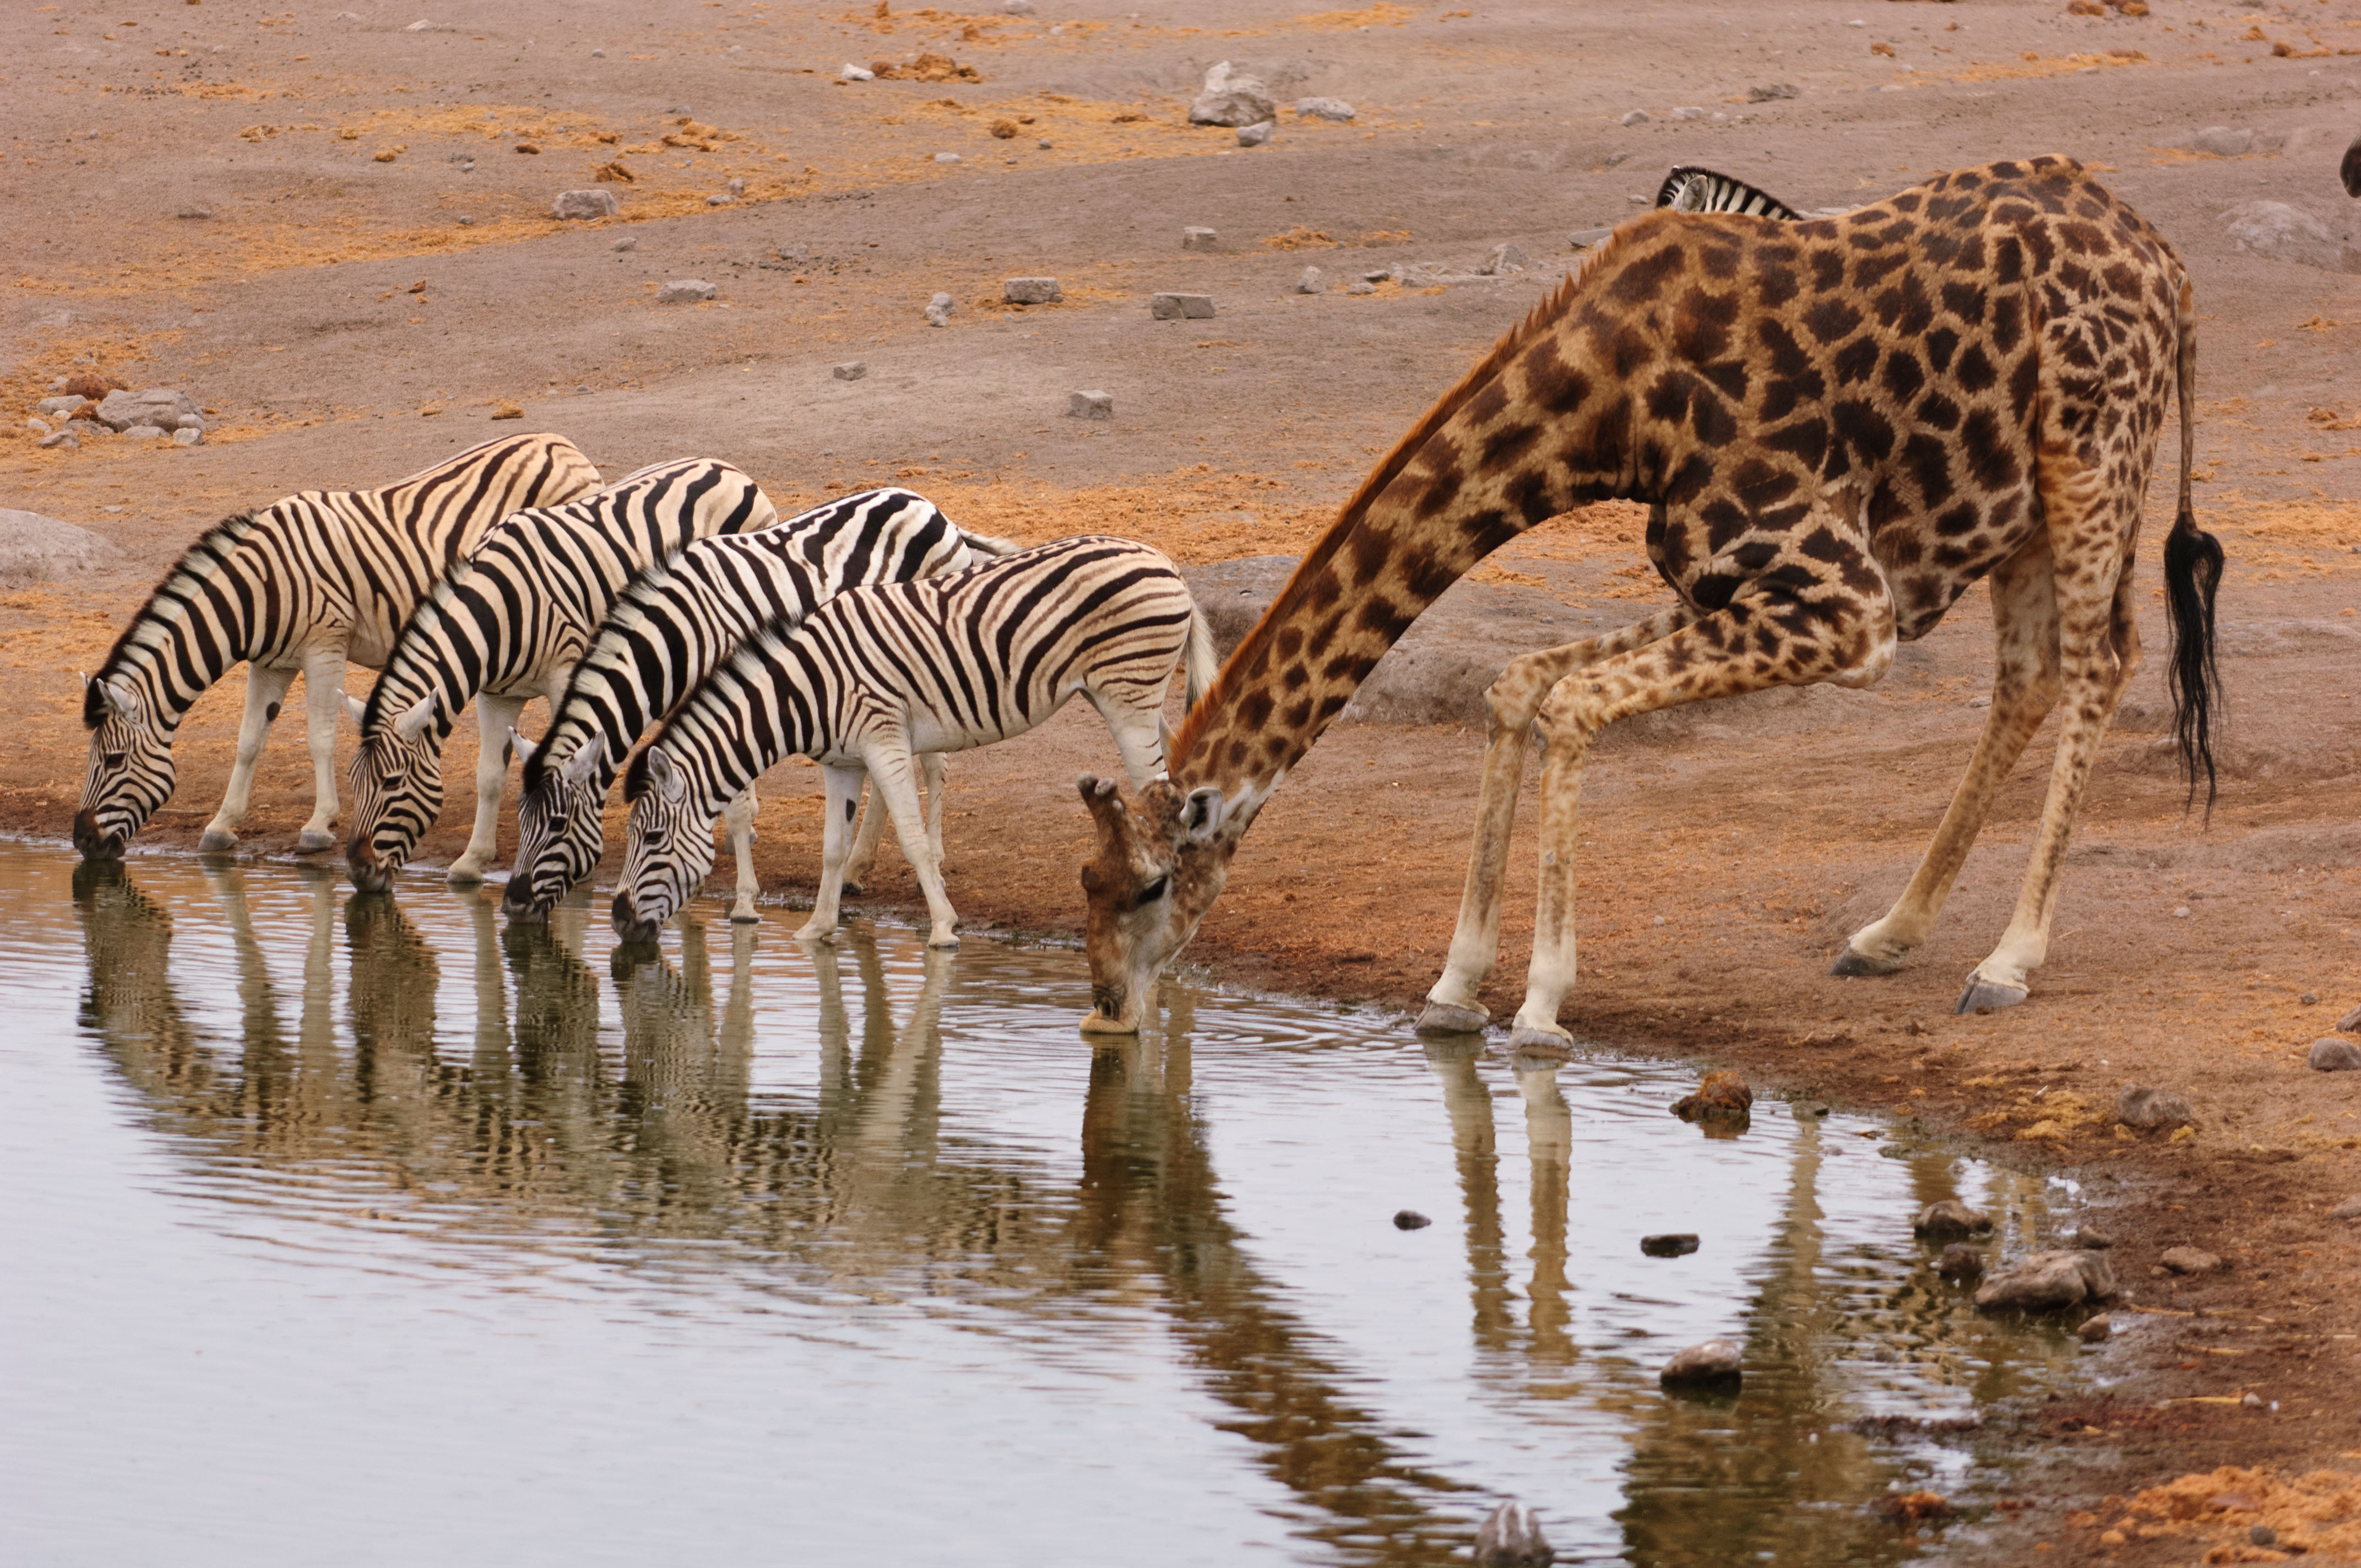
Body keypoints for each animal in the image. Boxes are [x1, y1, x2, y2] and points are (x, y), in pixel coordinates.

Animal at [79, 434, 604, 864]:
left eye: (113, 761)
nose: (81, 841)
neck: (259, 588)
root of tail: (562, 444)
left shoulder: (325, 646)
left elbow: (320, 737)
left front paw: (317, 826)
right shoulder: (270, 663)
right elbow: (249, 741)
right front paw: (222, 826)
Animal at [340, 453, 774, 892]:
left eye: (392, 781)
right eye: (353, 780)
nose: (358, 872)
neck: (497, 610)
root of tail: (725, 467)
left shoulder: (567, 675)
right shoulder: (495, 694)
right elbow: (489, 776)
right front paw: (472, 861)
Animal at [498, 486, 1015, 921]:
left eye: (558, 824)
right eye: (520, 819)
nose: (513, 904)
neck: (678, 638)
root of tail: (928, 505)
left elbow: (737, 804)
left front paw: (744, 900)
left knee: (934, 765)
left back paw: (934, 858)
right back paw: (855, 870)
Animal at [614, 534, 1218, 949]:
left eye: (652, 839)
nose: (617, 918)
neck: (807, 689)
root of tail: (1165, 563)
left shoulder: (882, 739)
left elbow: (913, 838)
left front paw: (945, 929)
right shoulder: (841, 761)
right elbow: (833, 847)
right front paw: (818, 927)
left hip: (1127, 697)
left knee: (1161, 793)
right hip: (1120, 694)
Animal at [1081, 155, 2219, 1039]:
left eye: (1145, 884)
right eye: (1085, 885)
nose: (1103, 1007)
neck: (1608, 405)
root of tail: (2169, 266)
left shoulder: (1849, 606)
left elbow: (1574, 703)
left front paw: (1541, 1003)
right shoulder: (1728, 579)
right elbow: (1522, 684)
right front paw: (1454, 987)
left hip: (2092, 453)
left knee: (2100, 660)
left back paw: (2007, 961)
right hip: (2015, 504)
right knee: (2029, 675)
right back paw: (1889, 934)